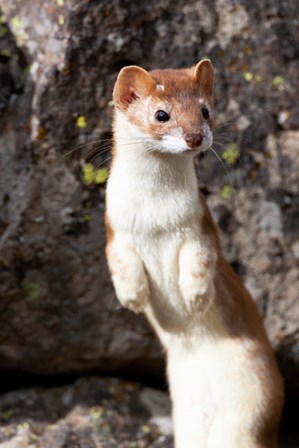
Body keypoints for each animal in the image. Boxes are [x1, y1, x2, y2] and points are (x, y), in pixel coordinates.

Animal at [104, 60, 284, 448]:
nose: (195, 137)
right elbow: (120, 264)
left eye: (205, 110)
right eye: (161, 114)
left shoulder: (199, 226)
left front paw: (195, 297)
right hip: (186, 419)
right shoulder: (115, 229)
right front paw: (133, 297)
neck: (154, 217)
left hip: (255, 404)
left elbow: (200, 260)